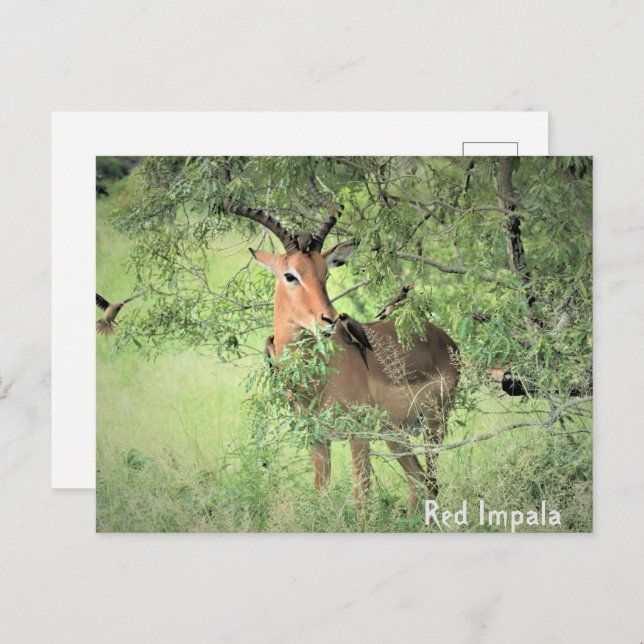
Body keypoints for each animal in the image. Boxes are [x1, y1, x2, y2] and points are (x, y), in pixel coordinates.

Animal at [225, 177, 460, 514]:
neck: (315, 381)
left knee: (431, 482)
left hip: (431, 425)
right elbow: (321, 494)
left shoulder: (357, 434)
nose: (330, 318)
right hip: (396, 433)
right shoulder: (318, 437)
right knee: (419, 483)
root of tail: (445, 340)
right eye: (290, 275)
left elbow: (363, 498)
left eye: (325, 273)